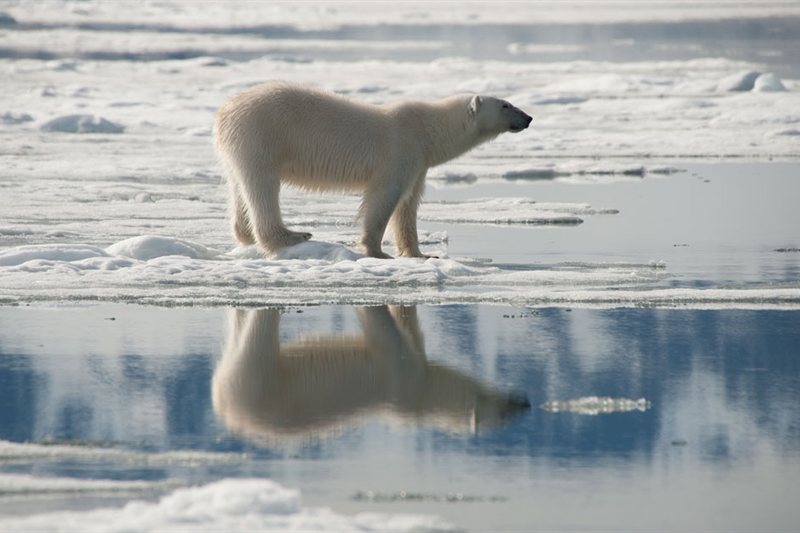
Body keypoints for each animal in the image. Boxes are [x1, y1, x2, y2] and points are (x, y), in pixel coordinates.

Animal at [214, 81, 532, 258]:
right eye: (506, 105)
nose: (528, 117)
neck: (427, 130)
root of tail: (224, 112)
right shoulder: (400, 150)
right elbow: (384, 198)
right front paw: (377, 252)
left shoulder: (418, 163)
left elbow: (409, 205)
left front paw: (421, 254)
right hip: (261, 135)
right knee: (262, 186)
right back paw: (294, 236)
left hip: (235, 149)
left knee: (239, 187)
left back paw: (246, 235)